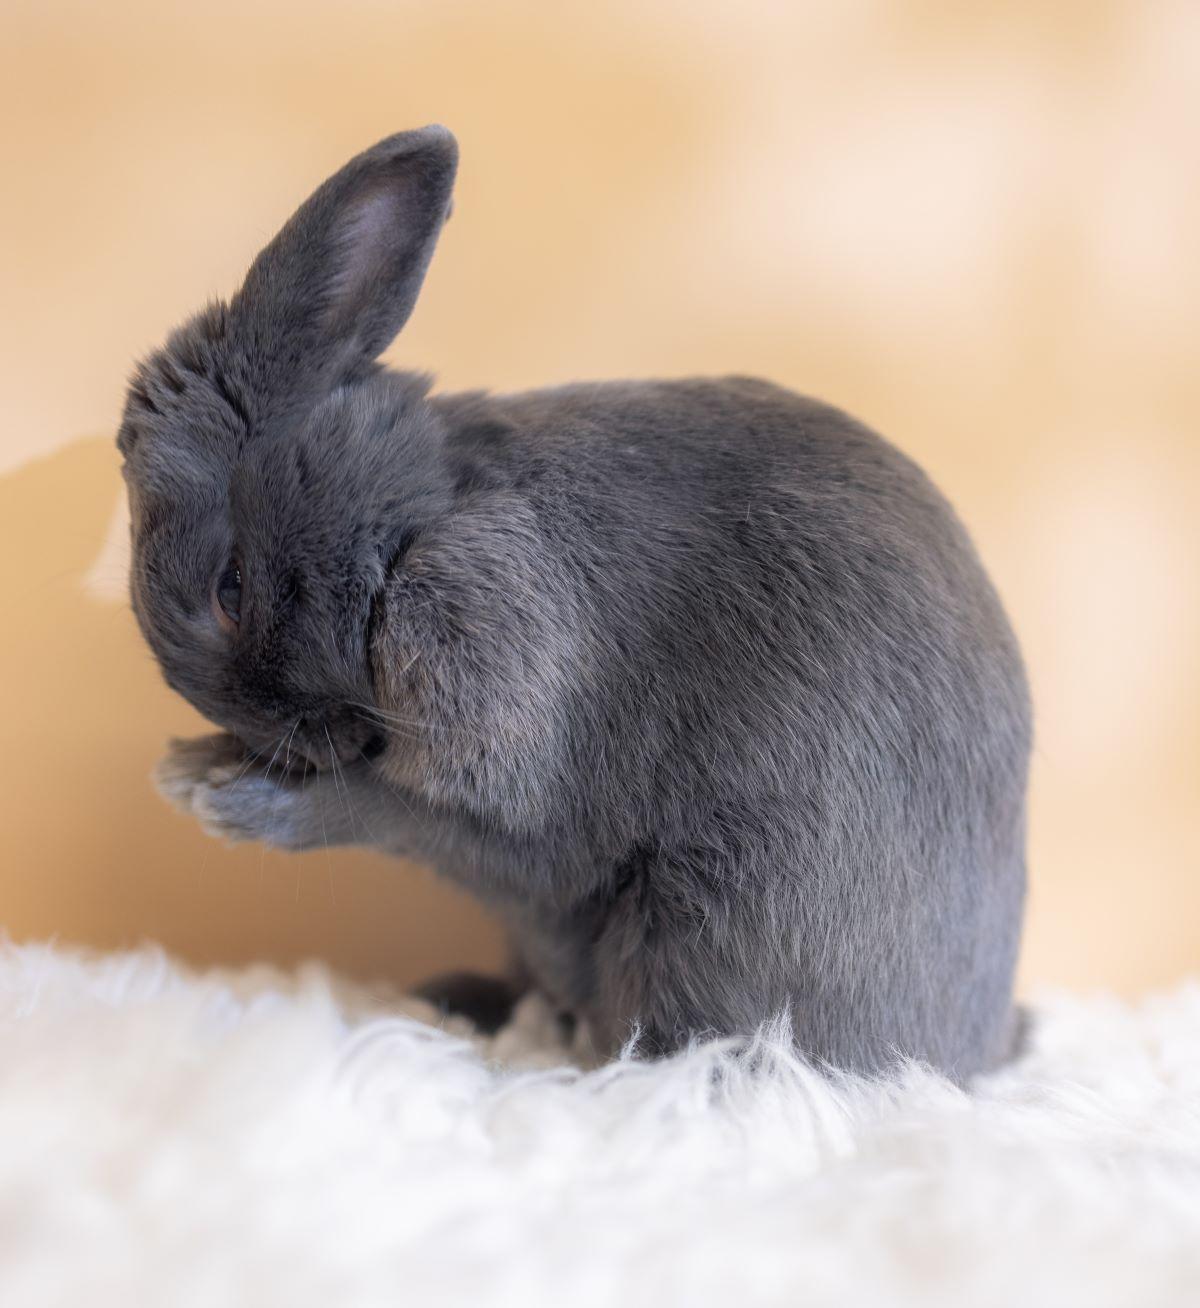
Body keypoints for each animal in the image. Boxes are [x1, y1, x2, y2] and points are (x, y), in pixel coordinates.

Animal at [119, 125, 1031, 1079]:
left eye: (229, 589)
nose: (281, 738)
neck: (422, 520)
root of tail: (981, 1048)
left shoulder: (512, 769)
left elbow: (403, 817)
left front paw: (226, 798)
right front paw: (198, 765)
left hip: (703, 921)